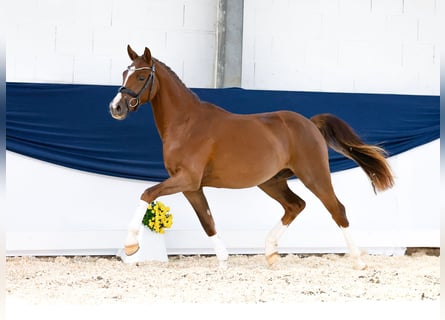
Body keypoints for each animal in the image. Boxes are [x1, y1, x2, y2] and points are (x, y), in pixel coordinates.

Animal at [109, 45, 394, 270]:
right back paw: (270, 253)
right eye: (124, 73)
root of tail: (310, 124)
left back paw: (359, 261)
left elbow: (147, 193)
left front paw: (131, 246)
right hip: (272, 181)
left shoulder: (187, 180)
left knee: (337, 209)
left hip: (314, 175)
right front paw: (223, 262)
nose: (116, 107)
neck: (186, 124)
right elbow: (207, 221)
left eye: (142, 76)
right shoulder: (192, 187)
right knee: (295, 205)